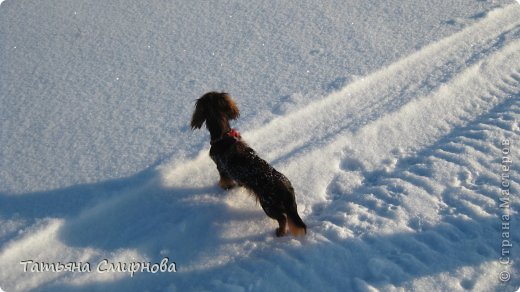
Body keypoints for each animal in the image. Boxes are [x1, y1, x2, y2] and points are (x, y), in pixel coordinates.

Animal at [190, 92, 304, 236]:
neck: (223, 135)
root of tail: (286, 188)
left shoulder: (221, 168)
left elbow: (224, 181)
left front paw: (224, 187)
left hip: (268, 205)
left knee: (282, 218)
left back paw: (280, 232)